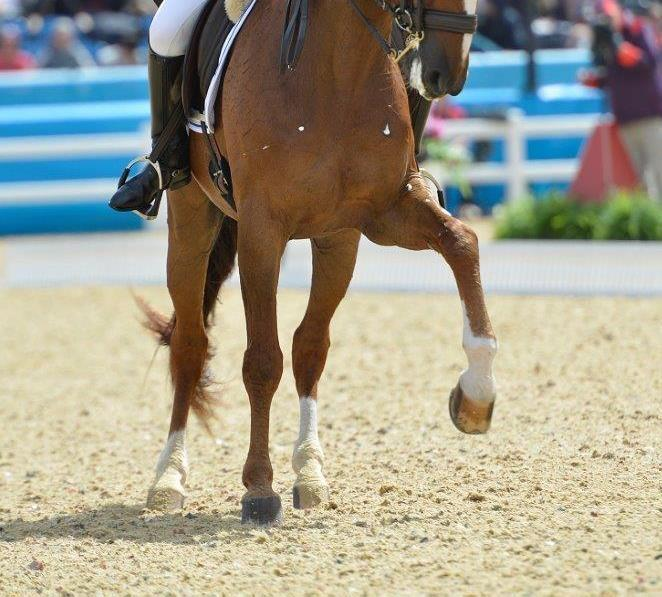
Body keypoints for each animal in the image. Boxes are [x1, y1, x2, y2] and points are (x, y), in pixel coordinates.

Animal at [145, 0, 498, 520]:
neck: (338, 70)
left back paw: (308, 470)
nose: (447, 72)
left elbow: (462, 243)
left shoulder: (370, 219)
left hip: (336, 242)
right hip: (191, 222)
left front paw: (475, 397)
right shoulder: (262, 233)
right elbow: (262, 362)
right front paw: (259, 487)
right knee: (189, 345)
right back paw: (168, 477)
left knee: (308, 346)